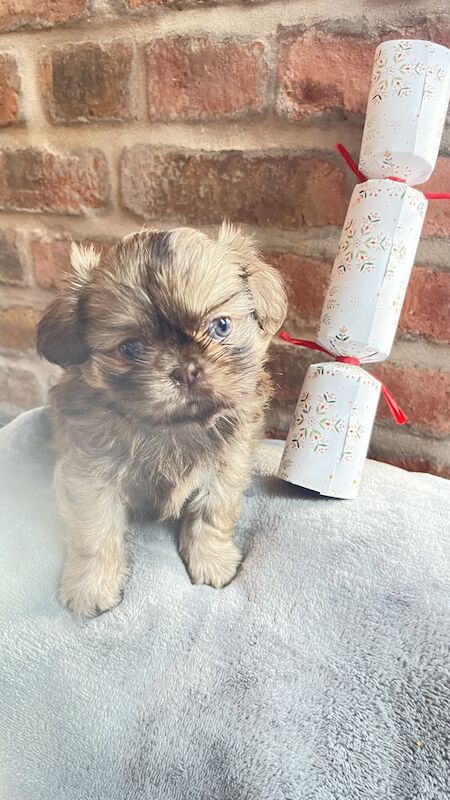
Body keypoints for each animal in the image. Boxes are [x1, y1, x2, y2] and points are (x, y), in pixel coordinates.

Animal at [37, 225, 286, 620]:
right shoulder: (89, 478)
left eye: (221, 326)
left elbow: (211, 515)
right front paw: (90, 587)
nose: (185, 368)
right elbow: (94, 535)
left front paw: (212, 561)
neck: (173, 427)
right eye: (131, 348)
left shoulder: (226, 468)